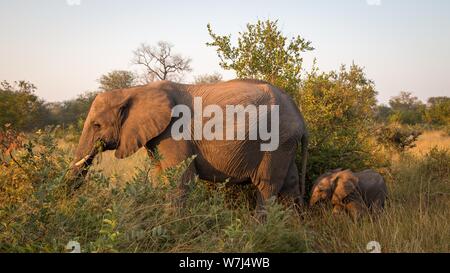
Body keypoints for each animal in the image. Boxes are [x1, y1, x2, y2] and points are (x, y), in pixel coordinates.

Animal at [68, 79, 310, 209]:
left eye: (97, 125)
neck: (135, 90)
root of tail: (300, 116)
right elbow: (160, 176)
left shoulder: (174, 132)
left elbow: (179, 181)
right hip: (286, 144)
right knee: (290, 185)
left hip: (275, 141)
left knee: (266, 187)